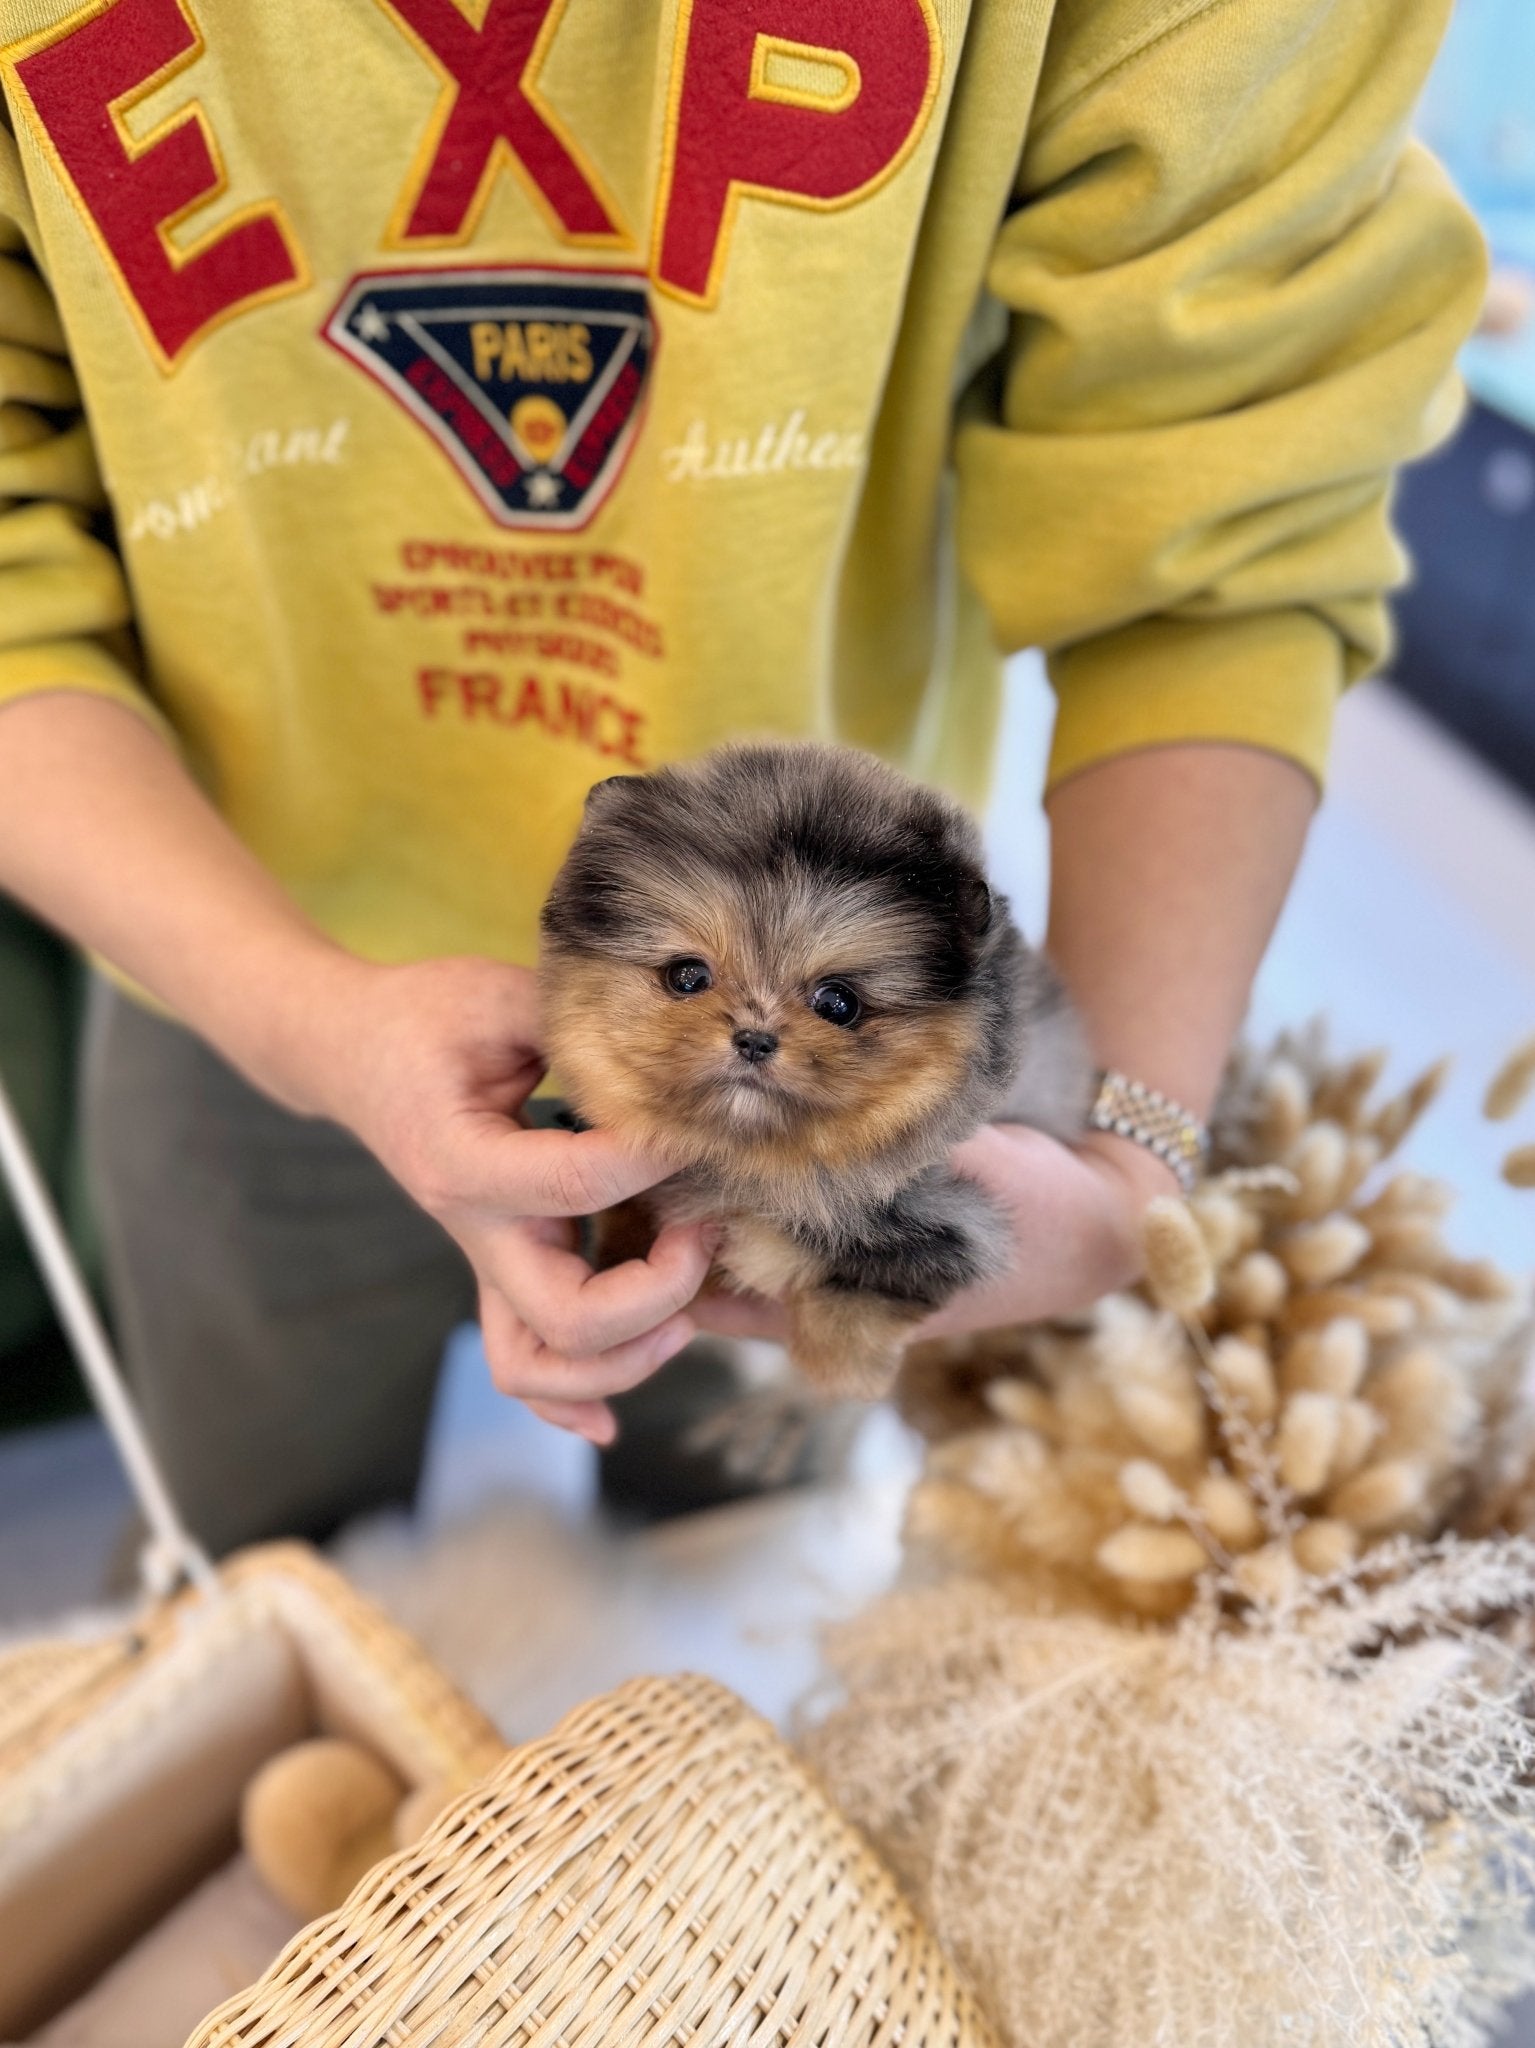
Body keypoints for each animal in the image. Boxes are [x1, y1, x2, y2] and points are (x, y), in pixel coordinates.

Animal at [540, 745, 1097, 1400]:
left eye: (838, 1002)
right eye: (687, 976)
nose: (754, 1038)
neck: (757, 1157)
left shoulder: (951, 1217)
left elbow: (861, 1277)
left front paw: (840, 1370)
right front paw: (619, 1252)